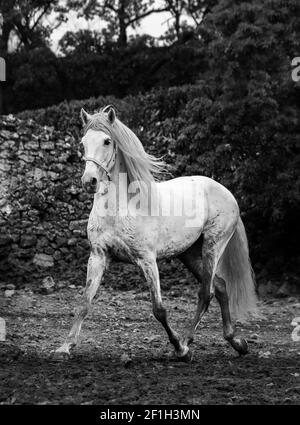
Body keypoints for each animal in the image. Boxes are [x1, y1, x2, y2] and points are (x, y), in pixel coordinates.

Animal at [55, 106, 258, 362]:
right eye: (83, 143)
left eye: (107, 141)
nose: (88, 180)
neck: (121, 208)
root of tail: (225, 191)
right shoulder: (98, 256)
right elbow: (84, 302)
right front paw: (65, 347)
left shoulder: (147, 259)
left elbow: (159, 309)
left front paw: (180, 349)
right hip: (189, 253)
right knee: (220, 286)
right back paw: (236, 342)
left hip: (213, 246)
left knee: (206, 293)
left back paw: (186, 343)